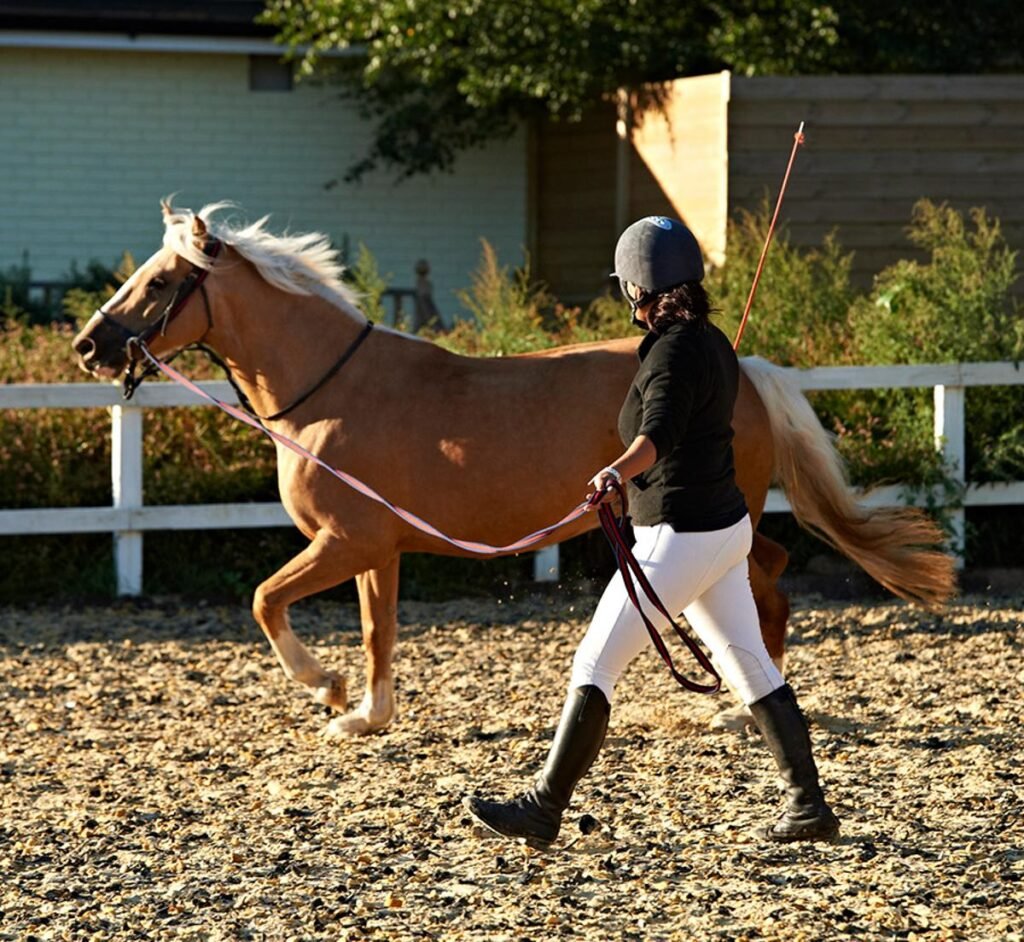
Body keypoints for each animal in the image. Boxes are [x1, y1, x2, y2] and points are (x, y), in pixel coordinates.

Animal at [72, 203, 958, 737]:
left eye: (159, 281)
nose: (89, 345)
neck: (331, 395)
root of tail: (745, 366)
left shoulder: (344, 541)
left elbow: (264, 600)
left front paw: (325, 689)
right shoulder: (375, 551)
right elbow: (377, 631)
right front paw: (367, 715)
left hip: (702, 516)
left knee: (767, 582)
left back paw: (743, 707)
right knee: (770, 574)